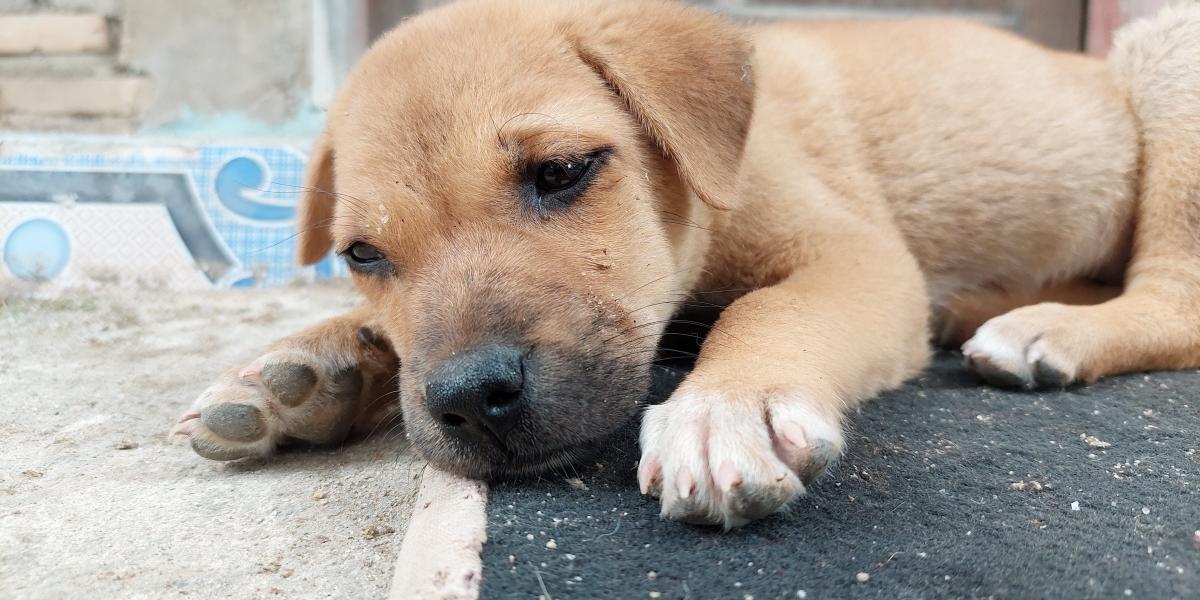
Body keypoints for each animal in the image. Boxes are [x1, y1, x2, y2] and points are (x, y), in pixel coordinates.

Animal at [174, 0, 1200, 525]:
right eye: (363, 253)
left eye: (564, 171)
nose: (469, 399)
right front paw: (306, 368)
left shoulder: (852, 255)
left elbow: (766, 310)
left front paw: (724, 410)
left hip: (1168, 74)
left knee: (1174, 298)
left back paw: (1045, 330)